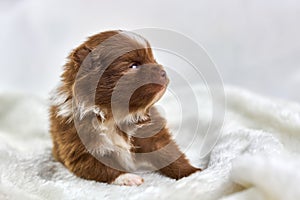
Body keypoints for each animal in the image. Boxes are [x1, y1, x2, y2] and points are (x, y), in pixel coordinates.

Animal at [49, 30, 200, 186]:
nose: (163, 72)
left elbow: (169, 153)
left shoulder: (150, 130)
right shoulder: (79, 146)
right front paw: (128, 178)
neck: (113, 116)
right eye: (133, 66)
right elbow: (101, 167)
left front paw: (192, 173)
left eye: (153, 59)